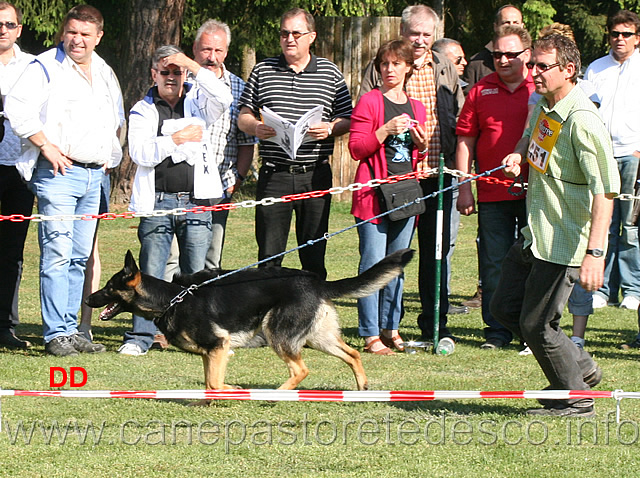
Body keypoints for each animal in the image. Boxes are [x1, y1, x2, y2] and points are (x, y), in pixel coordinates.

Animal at [86, 248, 416, 390]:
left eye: (109, 287)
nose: (88, 299)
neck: (171, 299)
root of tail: (316, 281)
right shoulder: (212, 353)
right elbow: (210, 382)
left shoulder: (219, 347)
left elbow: (215, 384)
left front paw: (231, 392)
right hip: (316, 337)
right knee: (352, 354)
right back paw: (362, 387)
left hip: (277, 333)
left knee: (301, 370)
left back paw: (277, 395)